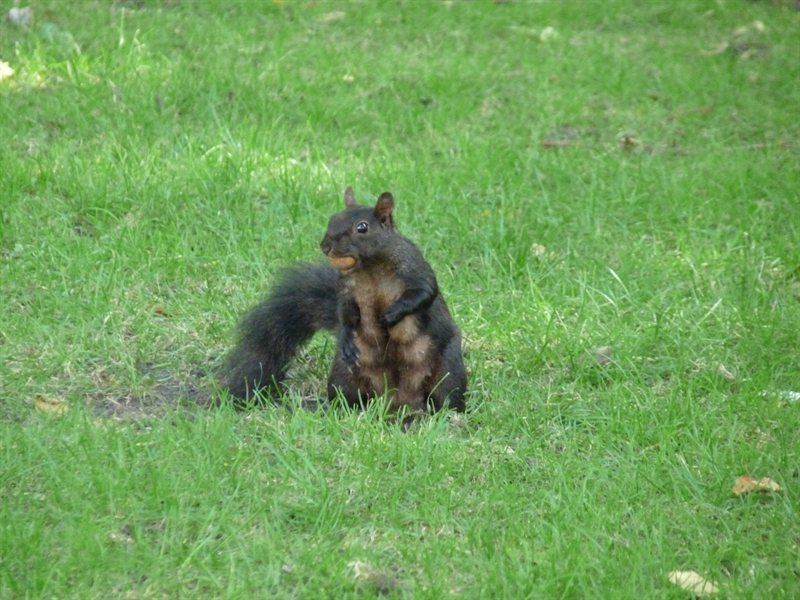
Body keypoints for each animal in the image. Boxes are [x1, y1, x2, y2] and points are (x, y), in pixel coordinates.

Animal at [221, 186, 467, 415]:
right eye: (332, 218)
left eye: (362, 227)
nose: (325, 245)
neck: (370, 267)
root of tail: (396, 402)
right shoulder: (347, 290)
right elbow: (346, 313)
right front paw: (349, 335)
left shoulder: (414, 266)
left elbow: (425, 292)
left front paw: (390, 315)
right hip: (343, 376)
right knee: (348, 399)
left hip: (448, 371)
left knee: (447, 398)